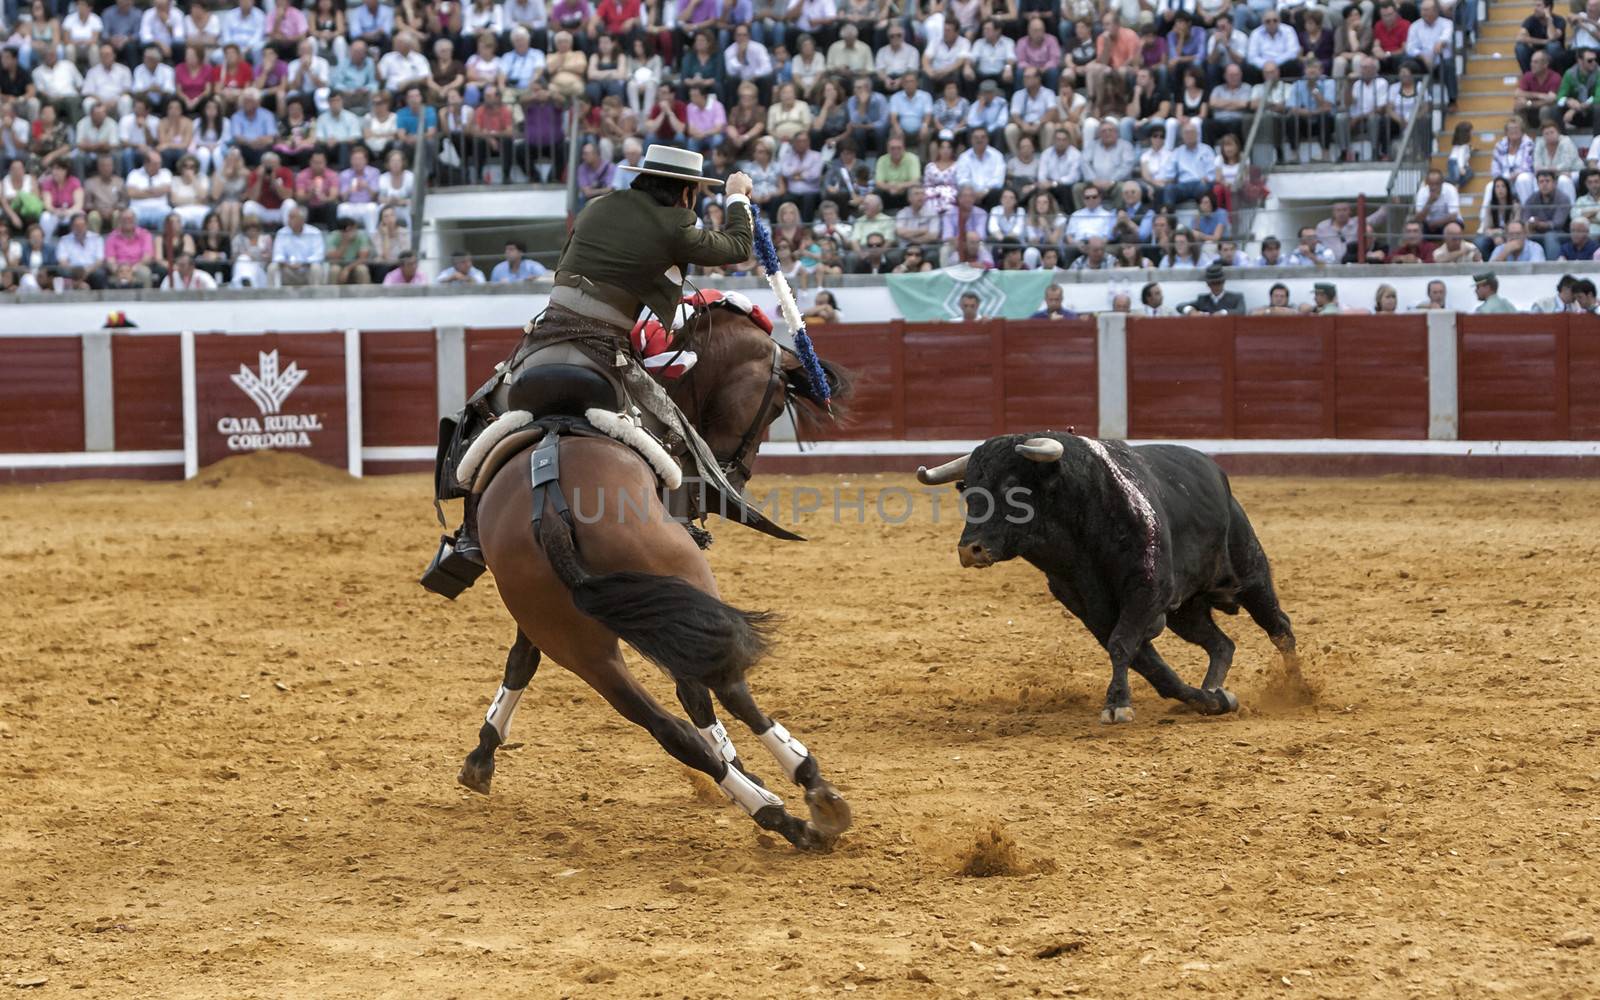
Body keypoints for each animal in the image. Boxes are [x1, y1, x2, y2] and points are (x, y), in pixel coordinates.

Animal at [454, 310, 851, 851]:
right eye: (772, 410)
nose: (727, 480)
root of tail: (551, 495)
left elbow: (521, 661)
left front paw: (481, 756)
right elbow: (696, 694)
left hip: (576, 640)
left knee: (668, 728)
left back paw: (776, 812)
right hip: (679, 582)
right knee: (725, 686)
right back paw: (806, 792)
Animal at [928, 432, 1299, 720]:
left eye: (1012, 486)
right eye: (968, 490)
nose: (970, 550)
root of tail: (1220, 478)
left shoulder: (1146, 590)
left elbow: (1122, 644)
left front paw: (1116, 705)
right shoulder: (1091, 608)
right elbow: (1146, 662)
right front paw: (1208, 700)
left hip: (1251, 575)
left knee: (1280, 628)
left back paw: (1299, 690)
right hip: (1186, 610)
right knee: (1222, 643)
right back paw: (1214, 688)